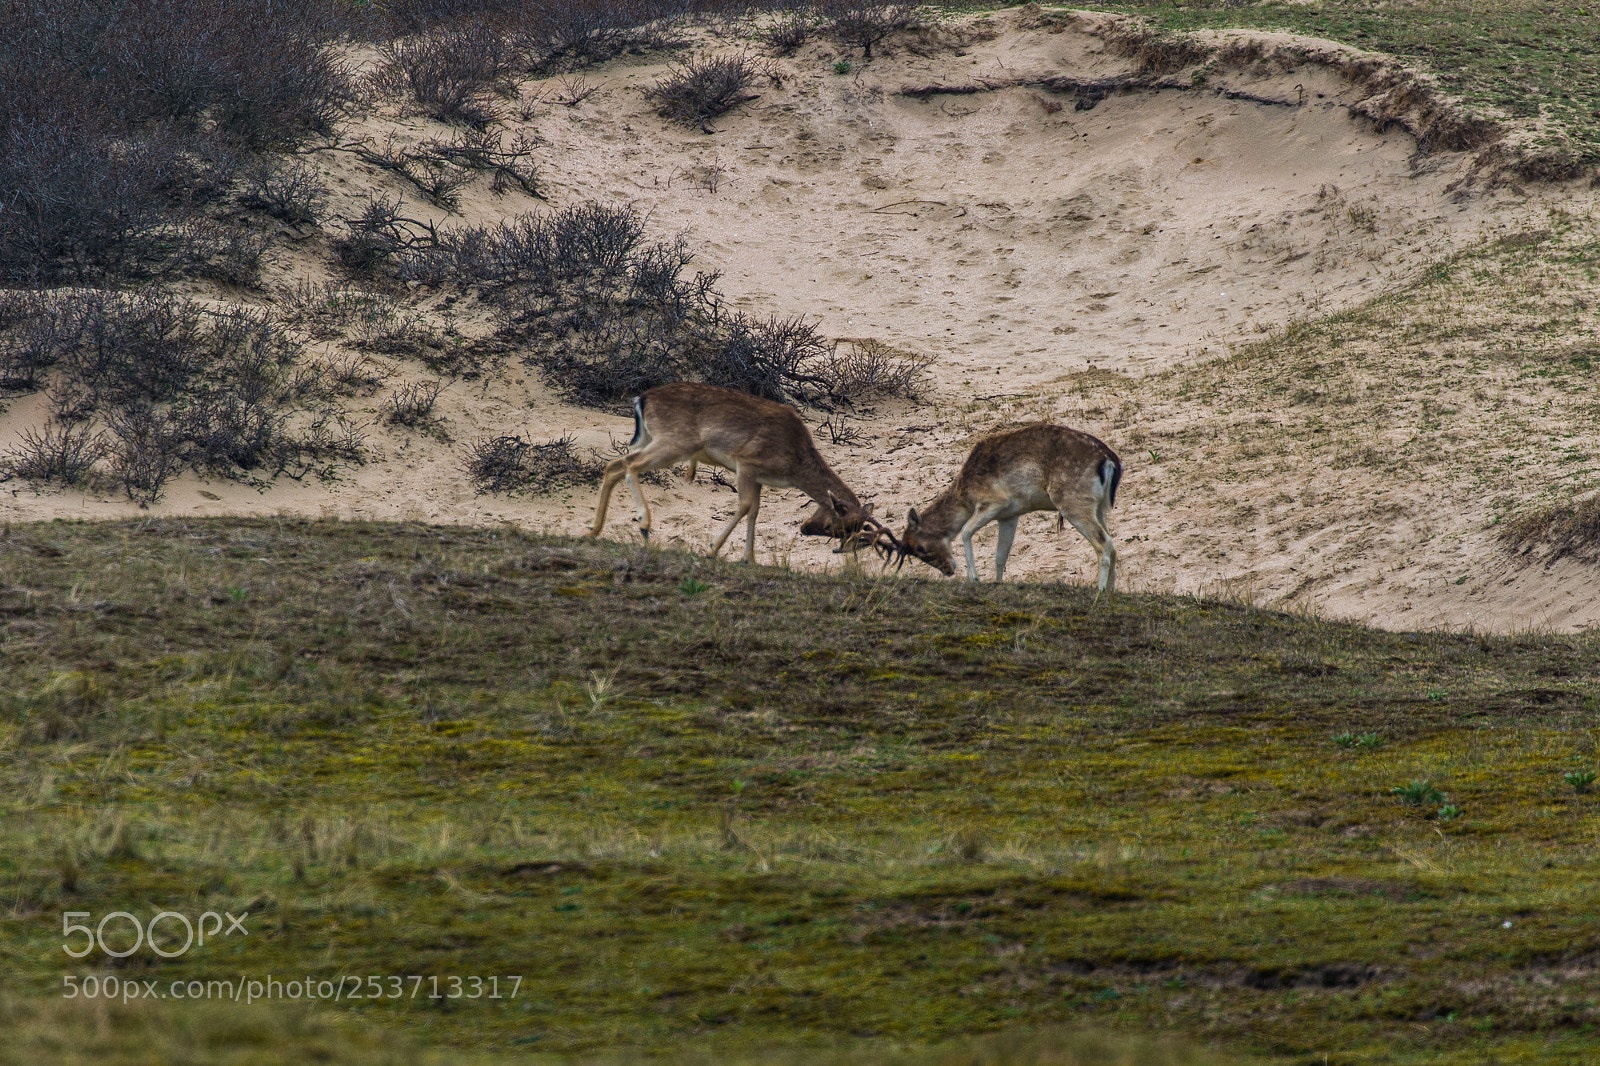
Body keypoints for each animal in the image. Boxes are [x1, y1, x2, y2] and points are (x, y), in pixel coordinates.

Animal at [586, 382, 899, 563]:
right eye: (833, 526)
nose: (804, 528)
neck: (795, 462)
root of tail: (642, 399)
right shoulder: (747, 462)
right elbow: (745, 506)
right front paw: (712, 549)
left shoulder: (759, 478)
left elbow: (755, 512)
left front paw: (749, 559)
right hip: (675, 442)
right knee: (630, 465)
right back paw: (644, 524)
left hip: (653, 439)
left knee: (614, 465)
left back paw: (594, 530)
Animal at [893, 423, 1122, 591]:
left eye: (920, 548)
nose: (948, 570)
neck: (965, 494)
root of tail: (1110, 461)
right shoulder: (1010, 515)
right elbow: (1000, 554)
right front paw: (997, 582)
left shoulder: (994, 501)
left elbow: (965, 531)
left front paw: (974, 578)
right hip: (1099, 507)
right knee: (1112, 543)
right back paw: (1111, 590)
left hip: (1072, 502)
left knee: (1103, 542)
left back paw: (1100, 590)